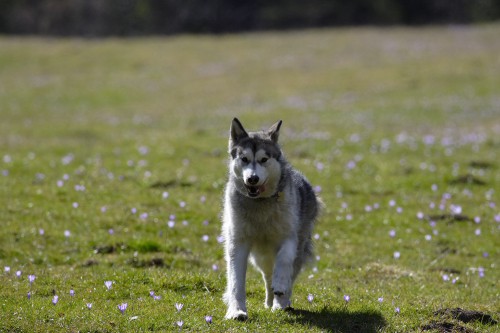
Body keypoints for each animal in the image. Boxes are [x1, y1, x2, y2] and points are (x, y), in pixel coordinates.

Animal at [222, 118, 320, 320]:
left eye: (264, 159)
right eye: (244, 159)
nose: (252, 179)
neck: (260, 204)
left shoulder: (289, 237)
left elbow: (284, 259)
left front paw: (281, 285)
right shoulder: (238, 243)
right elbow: (236, 281)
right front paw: (236, 311)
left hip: (298, 247)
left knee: (287, 272)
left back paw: (280, 302)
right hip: (261, 256)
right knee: (267, 276)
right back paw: (269, 301)